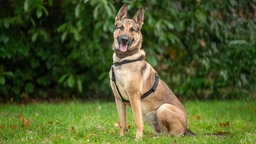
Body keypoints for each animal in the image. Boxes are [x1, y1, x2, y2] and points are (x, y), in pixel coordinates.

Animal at [109, 4, 192, 140]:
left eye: (132, 29)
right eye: (120, 27)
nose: (124, 40)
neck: (124, 60)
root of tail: (186, 129)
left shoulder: (134, 96)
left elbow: (137, 121)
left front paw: (138, 139)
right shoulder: (118, 99)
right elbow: (122, 122)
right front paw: (121, 137)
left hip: (163, 108)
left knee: (172, 135)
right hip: (150, 116)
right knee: (164, 133)